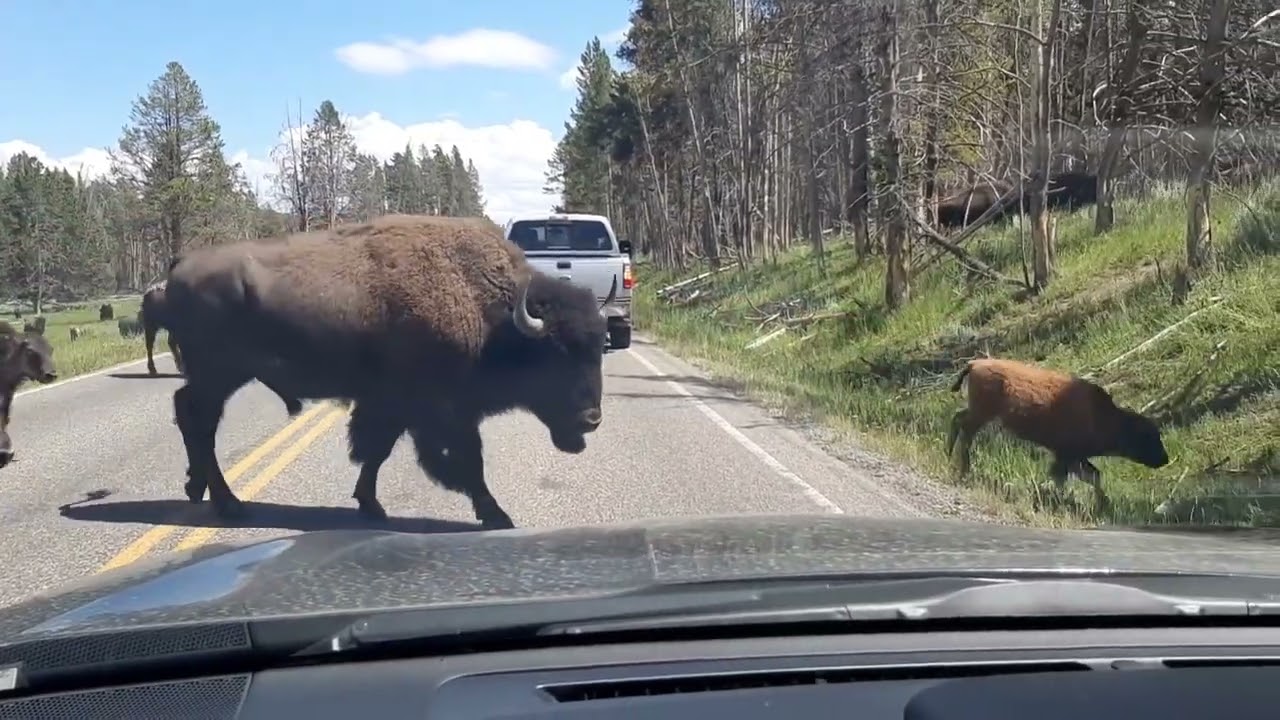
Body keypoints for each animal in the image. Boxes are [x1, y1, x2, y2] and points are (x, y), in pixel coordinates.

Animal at [163, 214, 616, 528]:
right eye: (557, 353)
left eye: (600, 348)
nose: (591, 420)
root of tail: (179, 267)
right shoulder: (440, 410)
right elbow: (465, 460)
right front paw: (496, 514)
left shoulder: (396, 407)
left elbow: (376, 452)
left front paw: (369, 504)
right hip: (218, 375)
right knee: (199, 421)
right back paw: (228, 503)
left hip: (217, 377)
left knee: (190, 415)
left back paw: (197, 488)